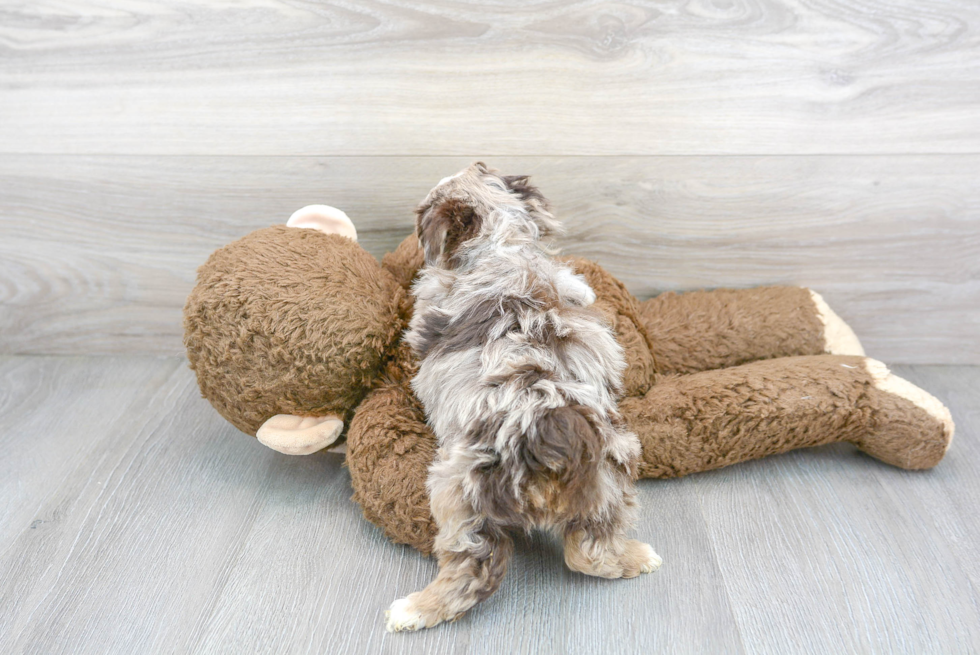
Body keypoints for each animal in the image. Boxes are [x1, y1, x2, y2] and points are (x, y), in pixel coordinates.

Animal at [382, 161, 660, 632]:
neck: (503, 244)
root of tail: (549, 427)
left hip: (461, 494)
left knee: (475, 569)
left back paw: (414, 610)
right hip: (610, 474)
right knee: (589, 550)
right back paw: (637, 558)